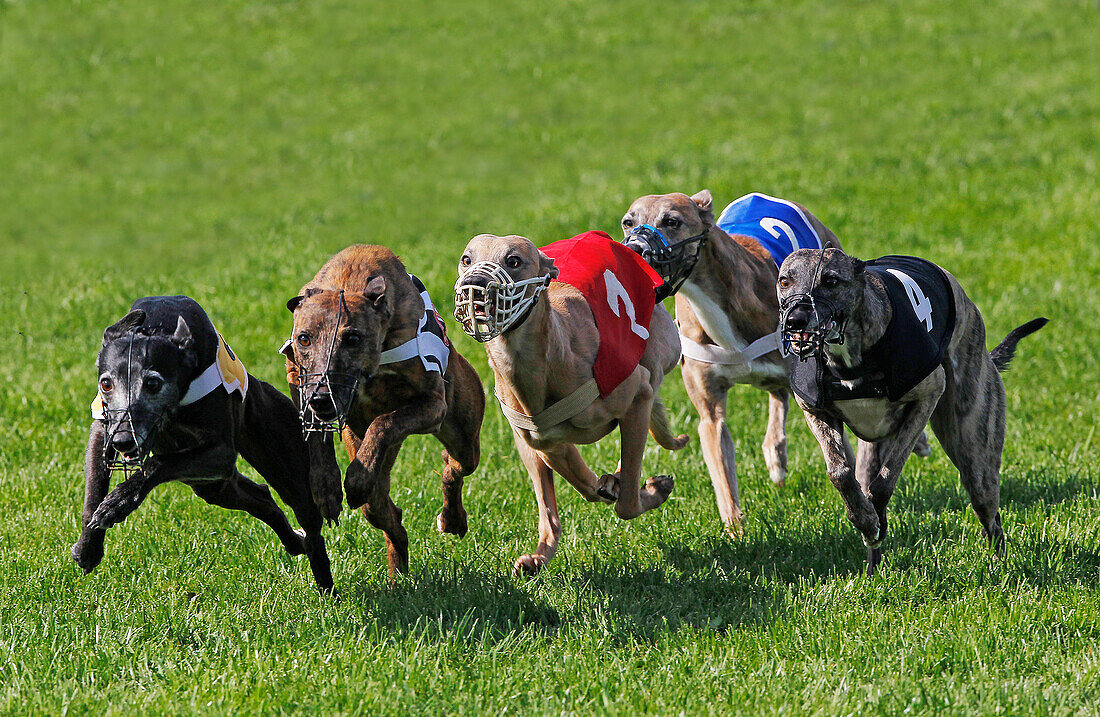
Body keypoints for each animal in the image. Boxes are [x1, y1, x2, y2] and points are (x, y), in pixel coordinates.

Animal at [73, 296, 334, 593]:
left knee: (310, 523)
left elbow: (159, 463)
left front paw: (120, 500)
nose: (122, 441)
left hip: (284, 464)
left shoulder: (220, 454)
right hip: (214, 487)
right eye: (106, 383)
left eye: (152, 383)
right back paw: (294, 542)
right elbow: (93, 491)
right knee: (262, 497)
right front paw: (88, 547)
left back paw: (326, 586)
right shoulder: (102, 430)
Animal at [283, 244, 481, 580]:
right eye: (303, 338)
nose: (321, 399)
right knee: (384, 513)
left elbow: (384, 421)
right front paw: (326, 487)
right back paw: (397, 567)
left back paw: (451, 519)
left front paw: (355, 478)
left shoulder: (433, 405)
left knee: (452, 467)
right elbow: (318, 439)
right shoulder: (299, 381)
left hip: (464, 437)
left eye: (352, 338)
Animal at [455, 232, 686, 576]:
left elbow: (628, 503)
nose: (475, 283)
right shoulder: (549, 445)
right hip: (528, 449)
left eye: (513, 260)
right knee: (551, 511)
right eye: (466, 259)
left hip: (658, 355)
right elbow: (582, 487)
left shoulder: (637, 394)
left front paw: (653, 490)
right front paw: (610, 486)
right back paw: (539, 555)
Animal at [778, 249, 1042, 576]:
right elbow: (840, 473)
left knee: (989, 513)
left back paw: (998, 564)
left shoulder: (927, 397)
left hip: (975, 453)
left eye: (830, 281)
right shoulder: (814, 409)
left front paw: (872, 519)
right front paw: (865, 521)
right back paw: (873, 562)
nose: (795, 320)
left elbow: (884, 481)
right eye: (785, 281)